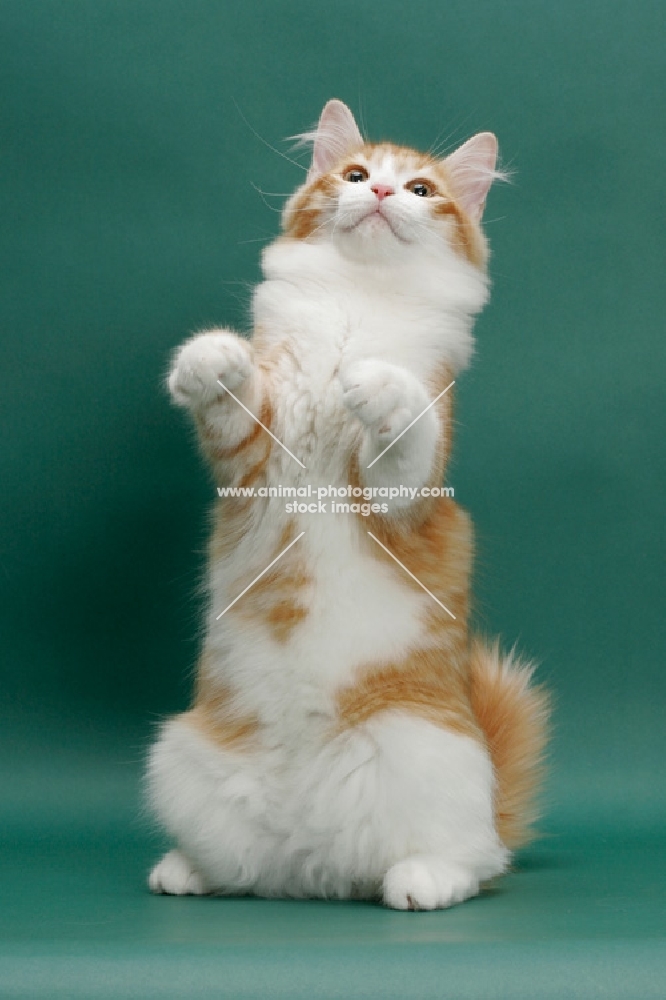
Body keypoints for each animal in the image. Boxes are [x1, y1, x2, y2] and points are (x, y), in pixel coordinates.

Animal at [148, 97, 548, 912]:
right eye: (358, 175)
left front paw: (376, 381)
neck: (359, 302)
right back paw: (190, 871)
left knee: (474, 859)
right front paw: (210, 358)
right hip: (179, 753)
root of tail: (314, 864)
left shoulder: (409, 491)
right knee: (242, 865)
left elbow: (404, 425)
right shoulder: (252, 460)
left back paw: (423, 880)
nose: (385, 194)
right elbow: (238, 401)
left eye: (422, 190)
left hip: (433, 754)